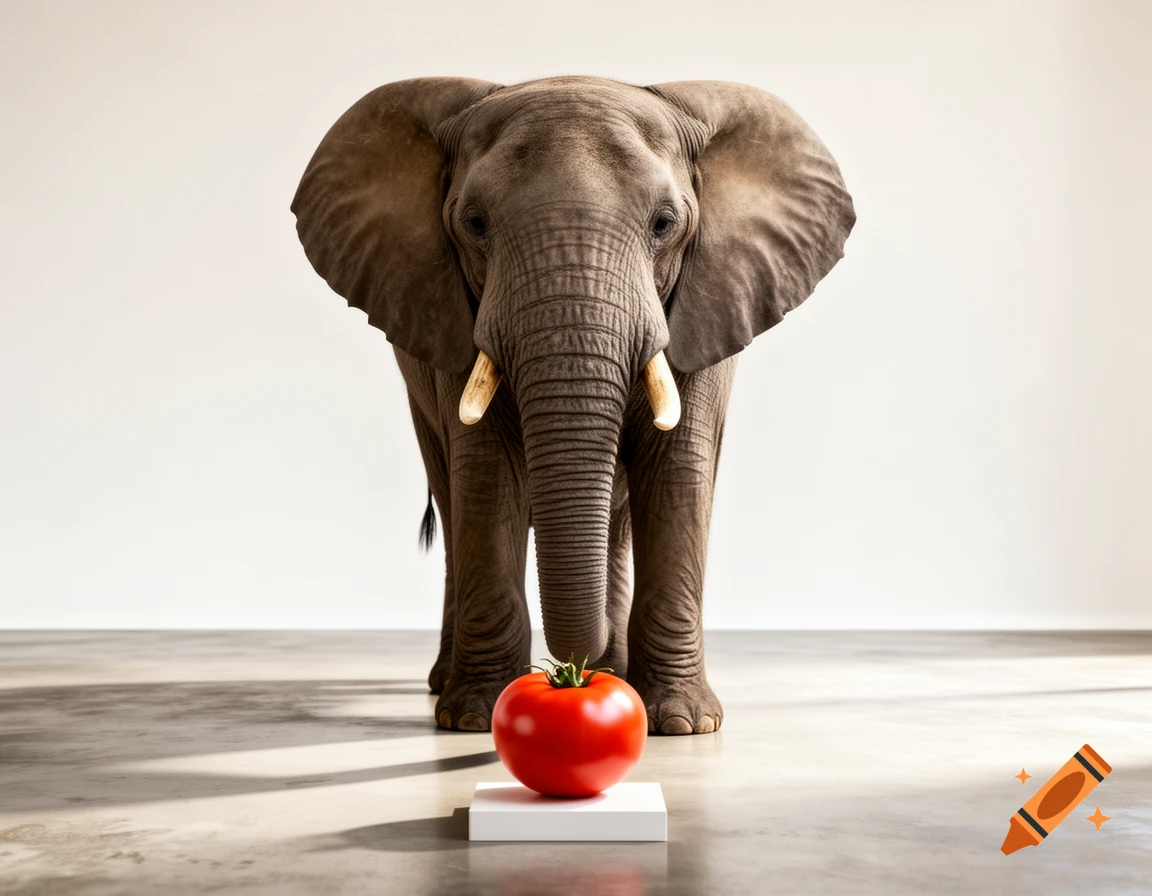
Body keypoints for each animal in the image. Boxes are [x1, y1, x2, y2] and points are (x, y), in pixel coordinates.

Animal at [291, 76, 854, 735]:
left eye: (665, 224)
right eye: (474, 224)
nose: (569, 671)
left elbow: (680, 471)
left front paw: (684, 725)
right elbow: (487, 474)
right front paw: (472, 719)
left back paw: (616, 670)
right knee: (454, 499)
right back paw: (452, 686)